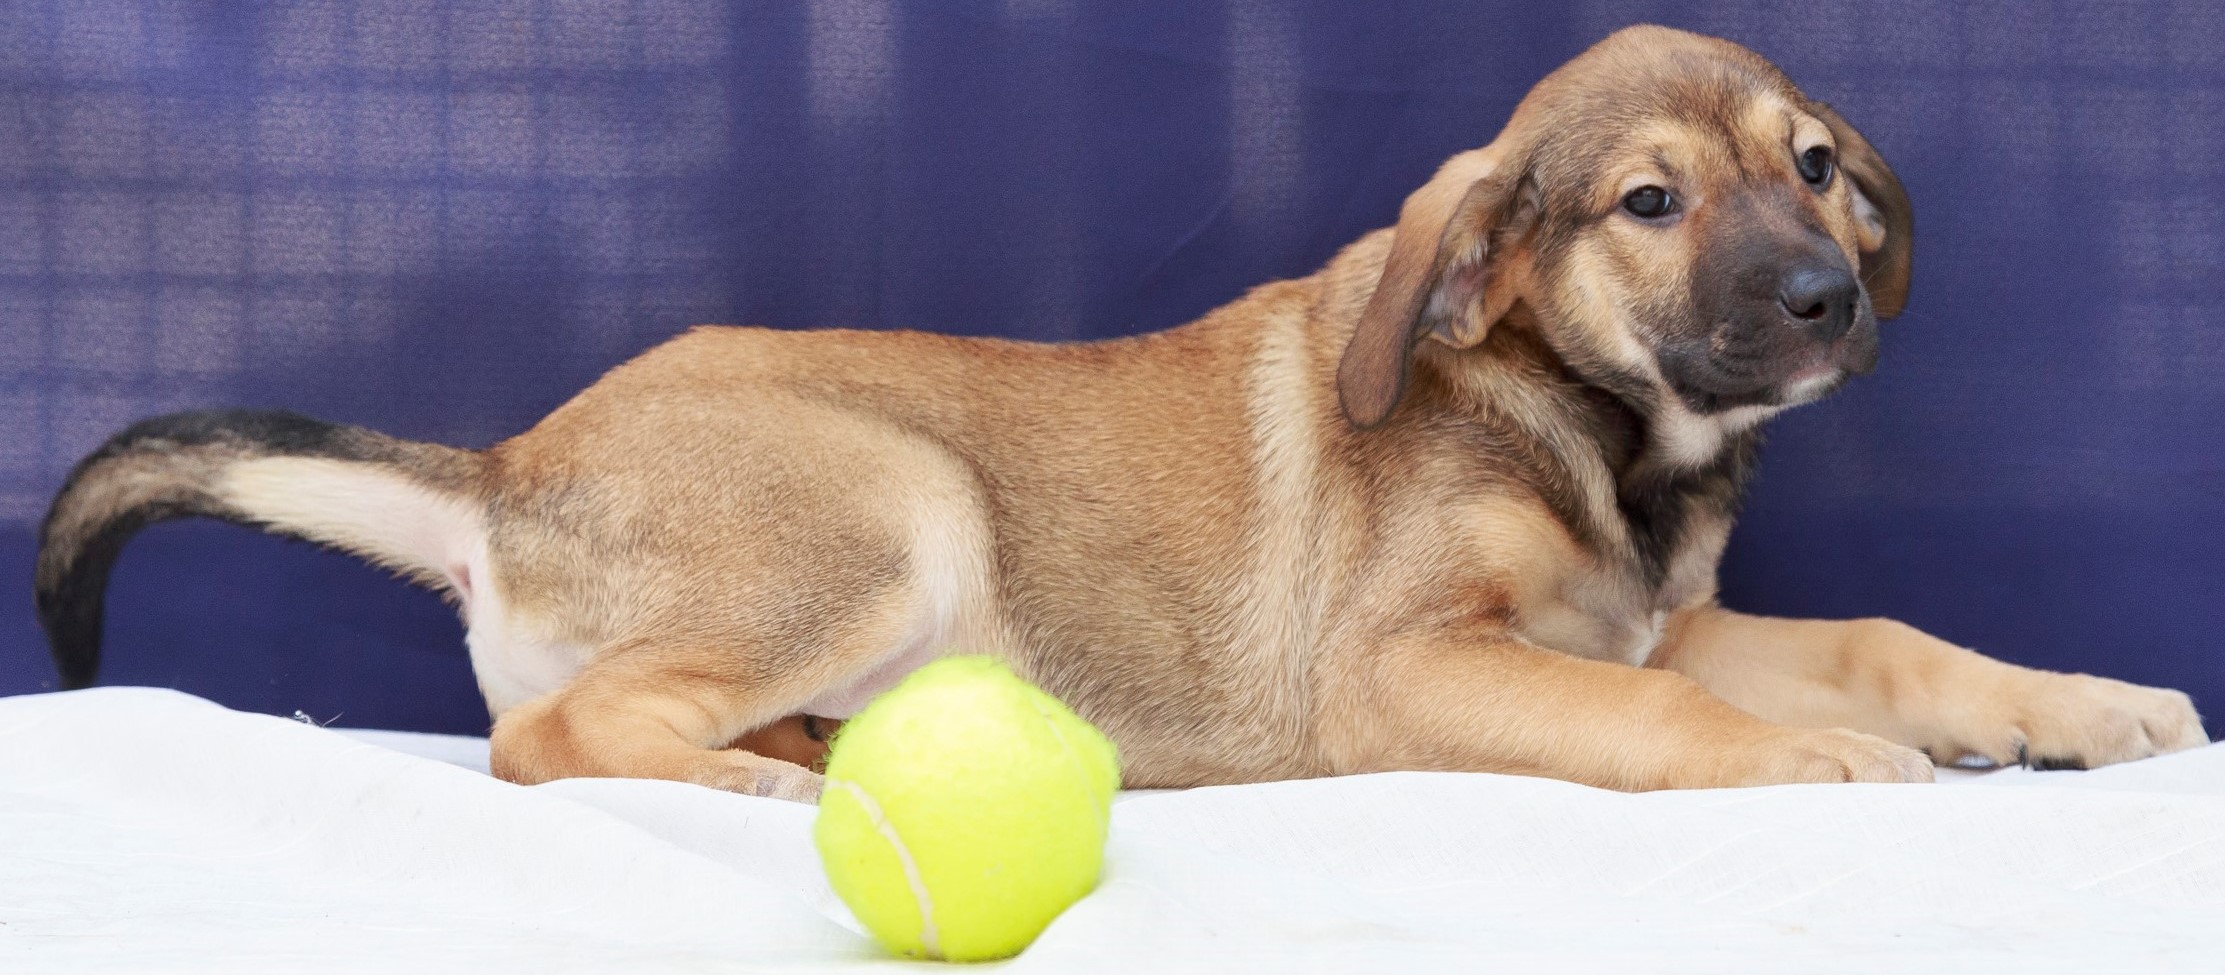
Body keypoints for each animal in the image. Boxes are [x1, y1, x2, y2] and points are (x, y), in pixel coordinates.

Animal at [39, 26, 2207, 801]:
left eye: (1815, 166)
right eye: (1649, 204)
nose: (1826, 300)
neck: (1584, 429)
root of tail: (506, 469)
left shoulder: (1674, 624)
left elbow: (1885, 633)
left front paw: (2079, 709)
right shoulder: (1408, 669)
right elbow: (1674, 723)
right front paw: (1807, 768)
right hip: (894, 499)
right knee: (550, 739)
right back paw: (774, 785)